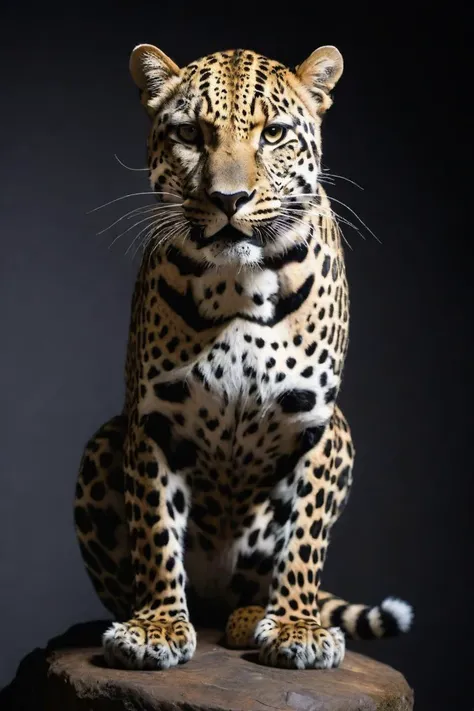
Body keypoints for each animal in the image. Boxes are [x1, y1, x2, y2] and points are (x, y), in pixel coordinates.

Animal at [73, 44, 412, 672]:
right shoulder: (151, 419)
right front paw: (156, 626)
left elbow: (304, 538)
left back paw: (253, 616)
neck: (238, 283)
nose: (229, 200)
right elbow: (155, 529)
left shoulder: (316, 423)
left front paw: (298, 628)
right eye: (189, 133)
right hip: (104, 439)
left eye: (273, 133)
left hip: (345, 434)